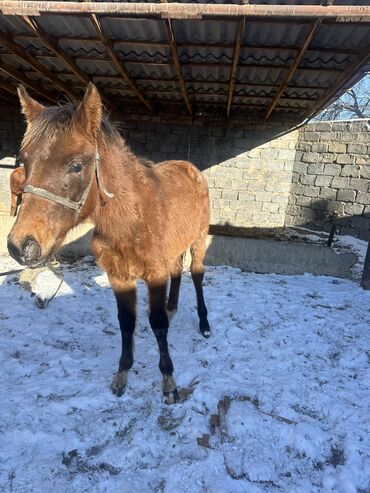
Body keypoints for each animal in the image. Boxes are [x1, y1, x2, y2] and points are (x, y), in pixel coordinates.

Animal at [7, 82, 211, 402]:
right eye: (25, 161)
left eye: (76, 166)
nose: (21, 246)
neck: (130, 218)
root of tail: (191, 169)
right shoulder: (118, 276)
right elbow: (126, 323)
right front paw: (122, 376)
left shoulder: (154, 274)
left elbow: (157, 325)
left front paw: (169, 382)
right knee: (178, 272)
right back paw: (173, 307)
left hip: (198, 240)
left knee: (197, 275)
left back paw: (204, 325)